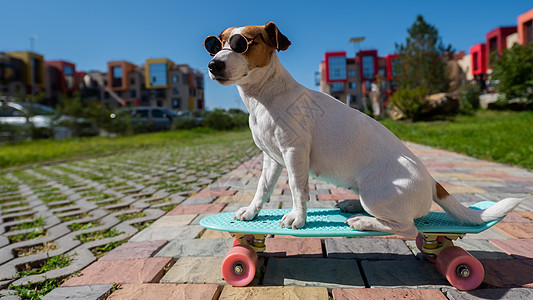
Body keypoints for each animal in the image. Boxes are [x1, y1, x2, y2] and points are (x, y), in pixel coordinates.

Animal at [203, 21, 520, 238]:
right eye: (217, 44)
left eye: (243, 43)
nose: (213, 64)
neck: (264, 96)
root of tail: (433, 183)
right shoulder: (271, 158)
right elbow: (263, 188)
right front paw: (251, 212)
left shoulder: (294, 152)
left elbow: (296, 187)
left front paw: (298, 218)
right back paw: (352, 206)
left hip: (374, 192)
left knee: (406, 228)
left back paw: (364, 221)